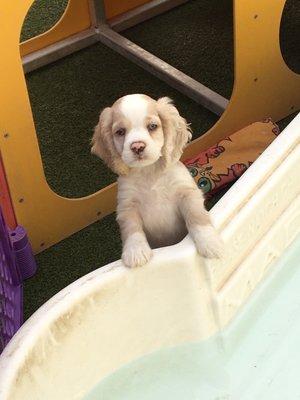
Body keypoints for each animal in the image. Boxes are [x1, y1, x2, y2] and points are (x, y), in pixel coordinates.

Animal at [91, 95, 223, 268]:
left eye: (152, 126)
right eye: (120, 132)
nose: (137, 147)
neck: (149, 173)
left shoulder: (187, 193)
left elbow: (197, 215)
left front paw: (209, 241)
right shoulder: (127, 206)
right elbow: (131, 228)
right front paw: (135, 251)